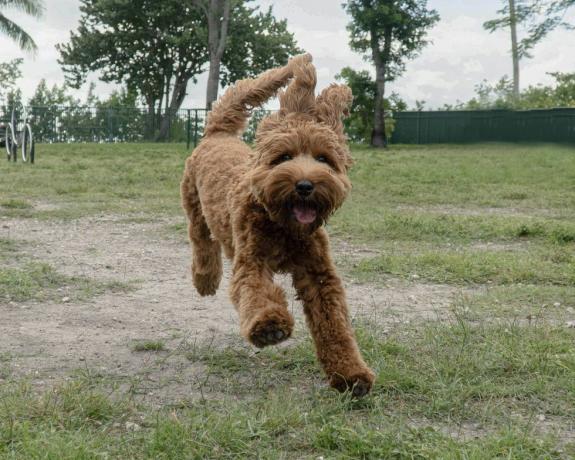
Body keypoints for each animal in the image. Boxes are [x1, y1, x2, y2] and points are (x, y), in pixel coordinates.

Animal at [182, 54, 376, 398]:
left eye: (323, 159)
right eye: (284, 156)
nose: (305, 185)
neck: (285, 228)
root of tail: (219, 134)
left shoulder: (319, 274)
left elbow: (335, 325)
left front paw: (351, 373)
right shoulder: (252, 262)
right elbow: (257, 293)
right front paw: (269, 327)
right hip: (194, 205)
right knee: (201, 241)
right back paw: (205, 279)